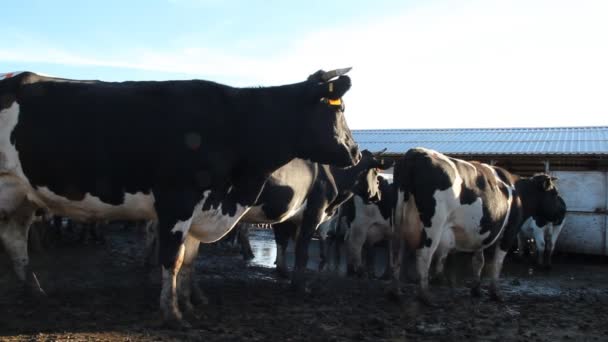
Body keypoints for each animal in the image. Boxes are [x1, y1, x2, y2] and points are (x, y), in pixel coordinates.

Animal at [0, 68, 360, 328]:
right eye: (339, 109)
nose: (356, 152)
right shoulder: (178, 201)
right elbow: (172, 259)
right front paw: (172, 313)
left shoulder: (203, 208)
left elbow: (189, 260)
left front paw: (188, 303)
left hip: (21, 196)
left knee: (15, 239)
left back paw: (35, 291)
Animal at [392, 148, 564, 304]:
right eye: (554, 194)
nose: (563, 211)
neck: (519, 193)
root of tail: (415, 153)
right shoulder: (509, 230)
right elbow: (497, 263)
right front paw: (495, 293)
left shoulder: (483, 231)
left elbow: (478, 261)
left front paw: (476, 289)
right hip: (433, 227)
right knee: (423, 255)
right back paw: (425, 296)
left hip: (399, 224)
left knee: (397, 254)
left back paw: (396, 292)